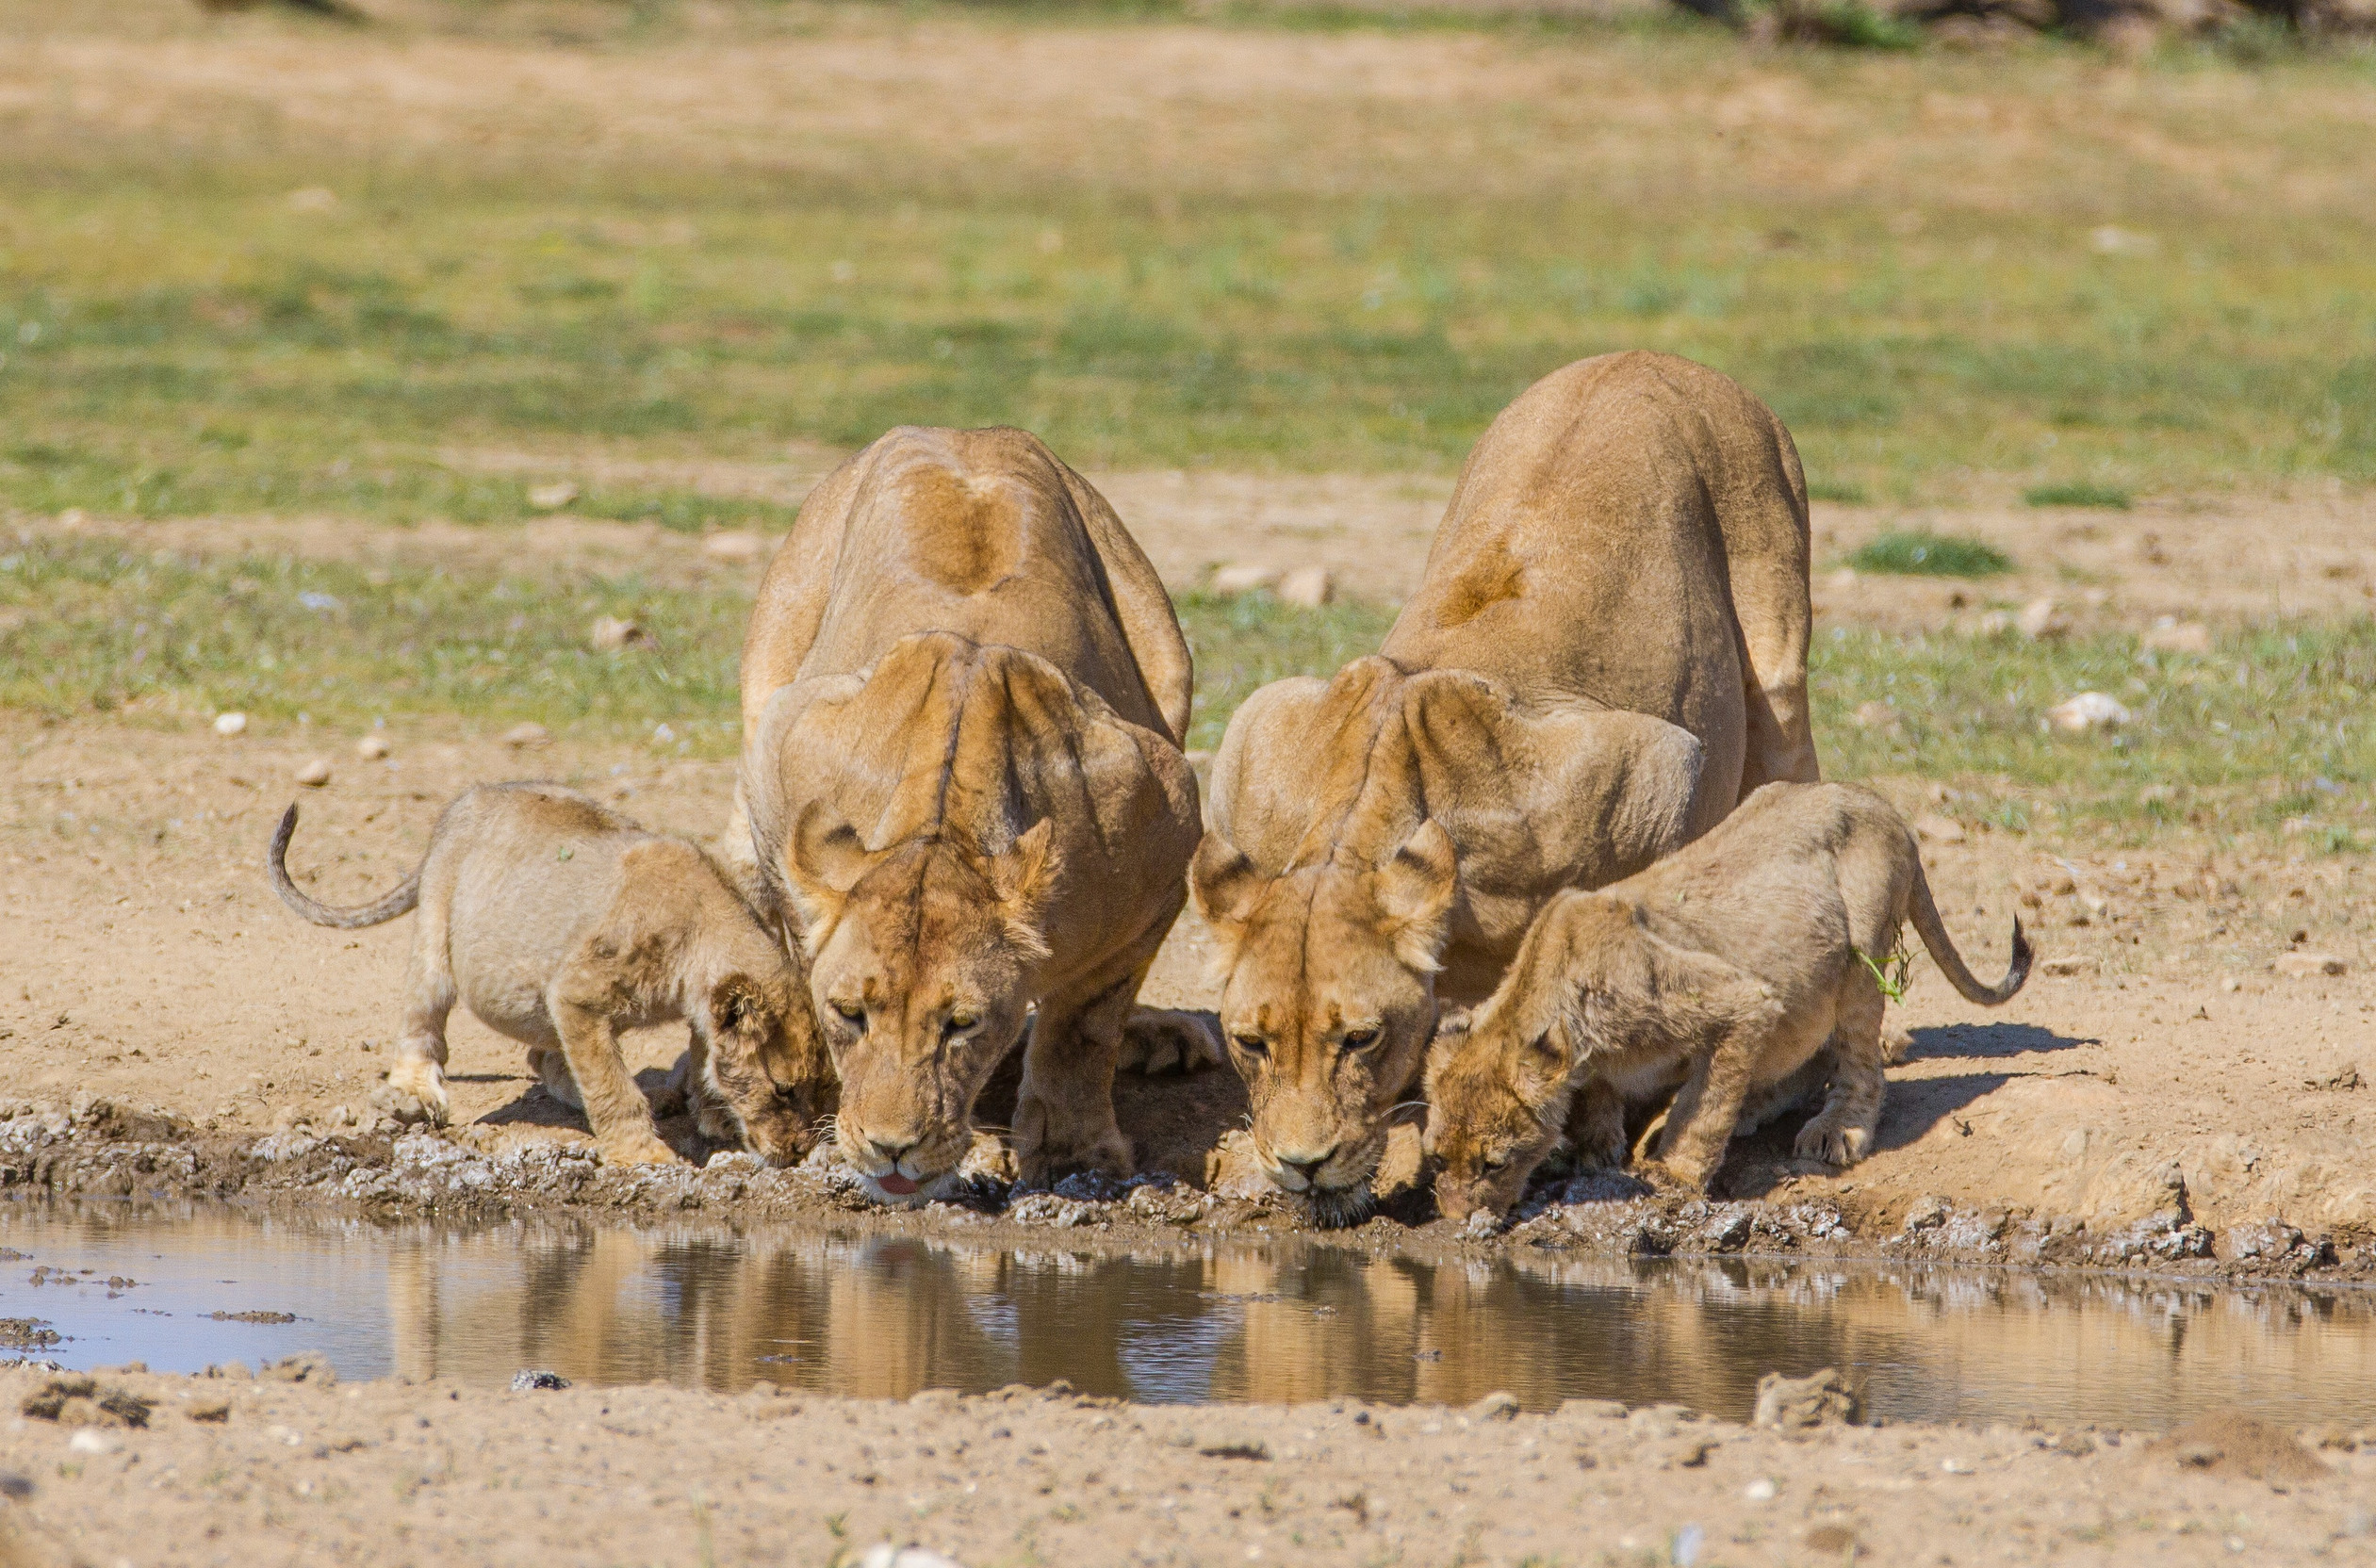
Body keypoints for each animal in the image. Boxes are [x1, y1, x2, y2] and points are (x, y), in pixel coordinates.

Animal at [261, 784, 831, 1164]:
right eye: (784, 1091)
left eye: (826, 1089)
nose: (798, 1152)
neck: (704, 933)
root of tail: (464, 801)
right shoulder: (576, 991)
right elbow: (612, 1088)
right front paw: (643, 1154)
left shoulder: (685, 1009)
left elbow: (695, 1055)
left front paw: (710, 1112)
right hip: (436, 938)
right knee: (423, 1024)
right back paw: (415, 1092)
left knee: (545, 1057)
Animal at [736, 422, 1206, 1192]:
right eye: (851, 1013)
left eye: (963, 1023)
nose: (891, 1148)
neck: (942, 821)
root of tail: (962, 429)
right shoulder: (783, 765)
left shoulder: (1161, 847)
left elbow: (1085, 1026)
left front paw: (1075, 1151)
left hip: (1164, 658)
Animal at [1188, 349, 1815, 1216]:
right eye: (1251, 1041)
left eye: (1360, 1038)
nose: (1301, 1163)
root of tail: (1651, 355)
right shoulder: (1255, 736)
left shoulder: (1656, 770)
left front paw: (1591, 1136)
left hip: (1778, 662)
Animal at [1416, 778, 2033, 1216]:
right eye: (1438, 1158)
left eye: (1494, 1164)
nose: (1458, 1221)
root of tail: (1877, 802)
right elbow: (1601, 1097)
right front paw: (1595, 1148)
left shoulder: (1738, 1000)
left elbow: (1704, 1104)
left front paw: (1676, 1174)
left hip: (1863, 946)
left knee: (1858, 1062)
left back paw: (1836, 1128)